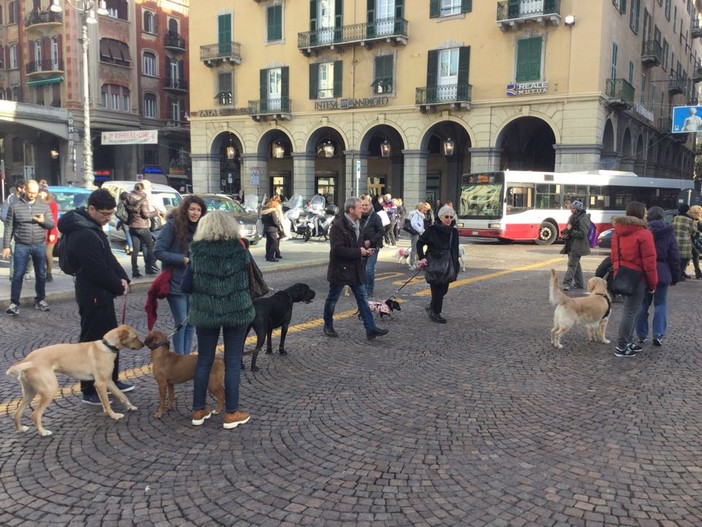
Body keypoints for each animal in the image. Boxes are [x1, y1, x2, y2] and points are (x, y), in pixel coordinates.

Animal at [6, 326, 144, 438]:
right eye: (135, 337)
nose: (143, 345)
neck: (107, 347)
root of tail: (28, 360)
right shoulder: (100, 383)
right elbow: (107, 404)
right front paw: (113, 415)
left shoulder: (108, 381)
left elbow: (122, 395)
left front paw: (130, 407)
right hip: (49, 390)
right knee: (35, 414)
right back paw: (43, 432)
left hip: (30, 392)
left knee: (17, 413)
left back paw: (20, 429)